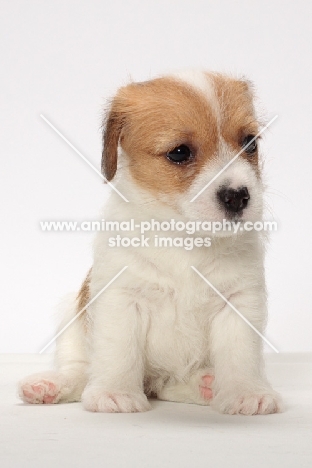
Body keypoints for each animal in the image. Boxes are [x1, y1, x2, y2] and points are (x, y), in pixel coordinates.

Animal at [18, 68, 282, 414]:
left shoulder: (239, 301)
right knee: (79, 369)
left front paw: (245, 391)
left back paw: (206, 384)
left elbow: (241, 355)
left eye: (249, 143)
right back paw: (51, 384)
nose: (238, 196)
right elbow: (118, 352)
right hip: (71, 318)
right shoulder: (121, 298)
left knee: (168, 384)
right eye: (179, 152)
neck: (185, 239)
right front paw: (115, 392)